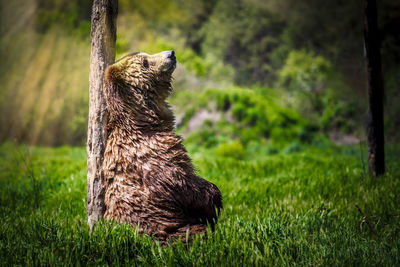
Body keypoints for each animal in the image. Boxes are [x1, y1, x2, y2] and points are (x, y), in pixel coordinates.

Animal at [102, 50, 222, 243]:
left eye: (146, 54)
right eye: (145, 62)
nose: (170, 53)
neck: (146, 122)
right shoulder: (156, 156)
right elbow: (182, 184)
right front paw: (214, 200)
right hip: (169, 229)